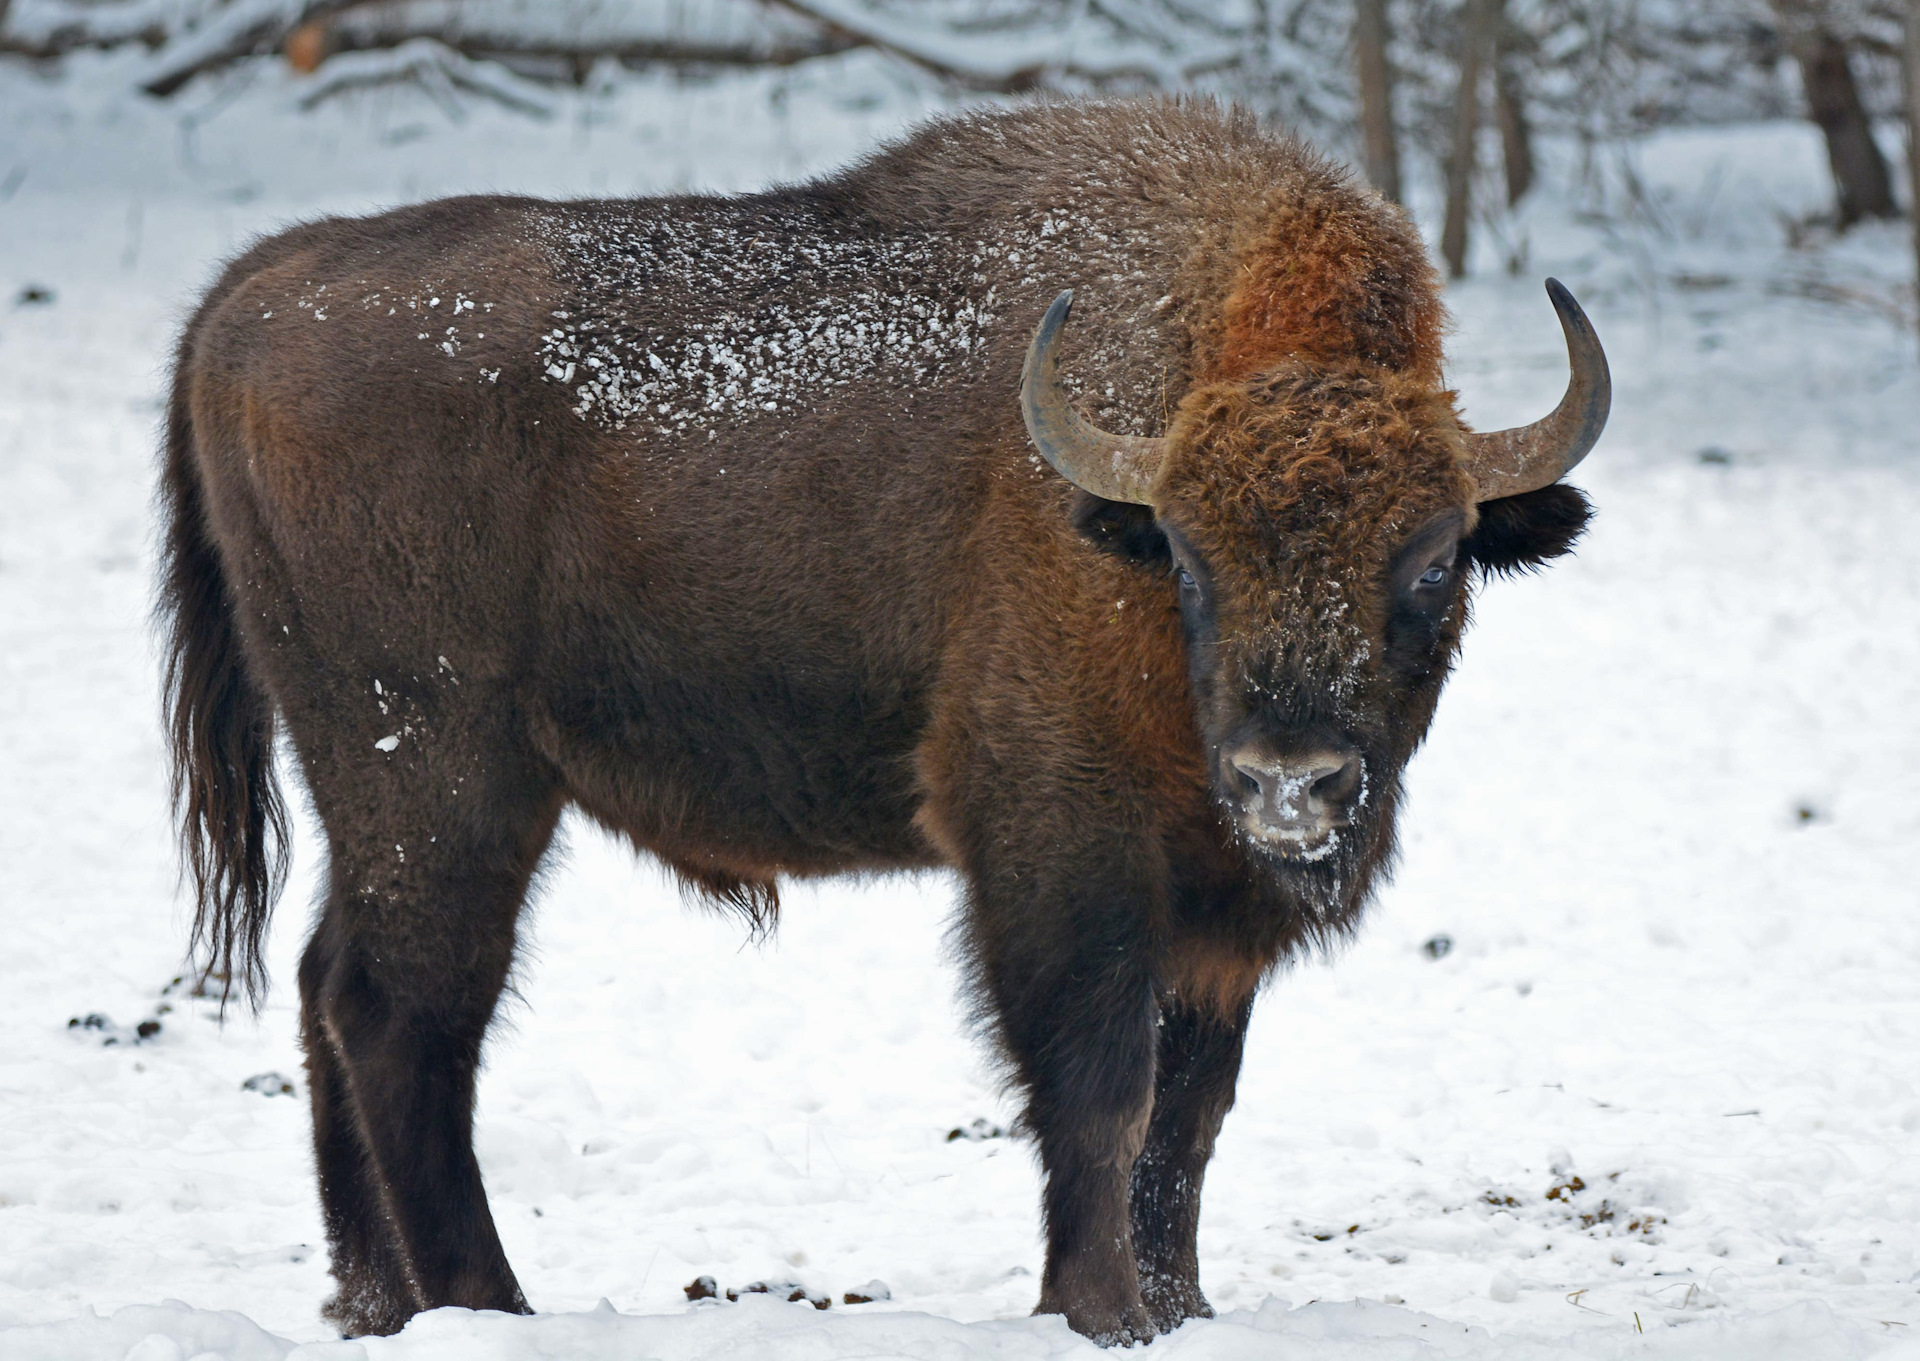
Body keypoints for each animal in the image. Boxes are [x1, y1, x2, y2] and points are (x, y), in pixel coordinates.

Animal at [161, 100, 1605, 1343]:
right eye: (1190, 558)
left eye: (1435, 562)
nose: (1291, 781)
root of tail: (258, 289)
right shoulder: (1061, 850)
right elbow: (1103, 1096)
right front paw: (1103, 1314)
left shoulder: (1210, 915)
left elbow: (1189, 1120)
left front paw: (1183, 1309)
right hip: (443, 781)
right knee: (402, 1013)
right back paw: (488, 1305)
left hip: (378, 789)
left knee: (329, 985)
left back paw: (373, 1303)